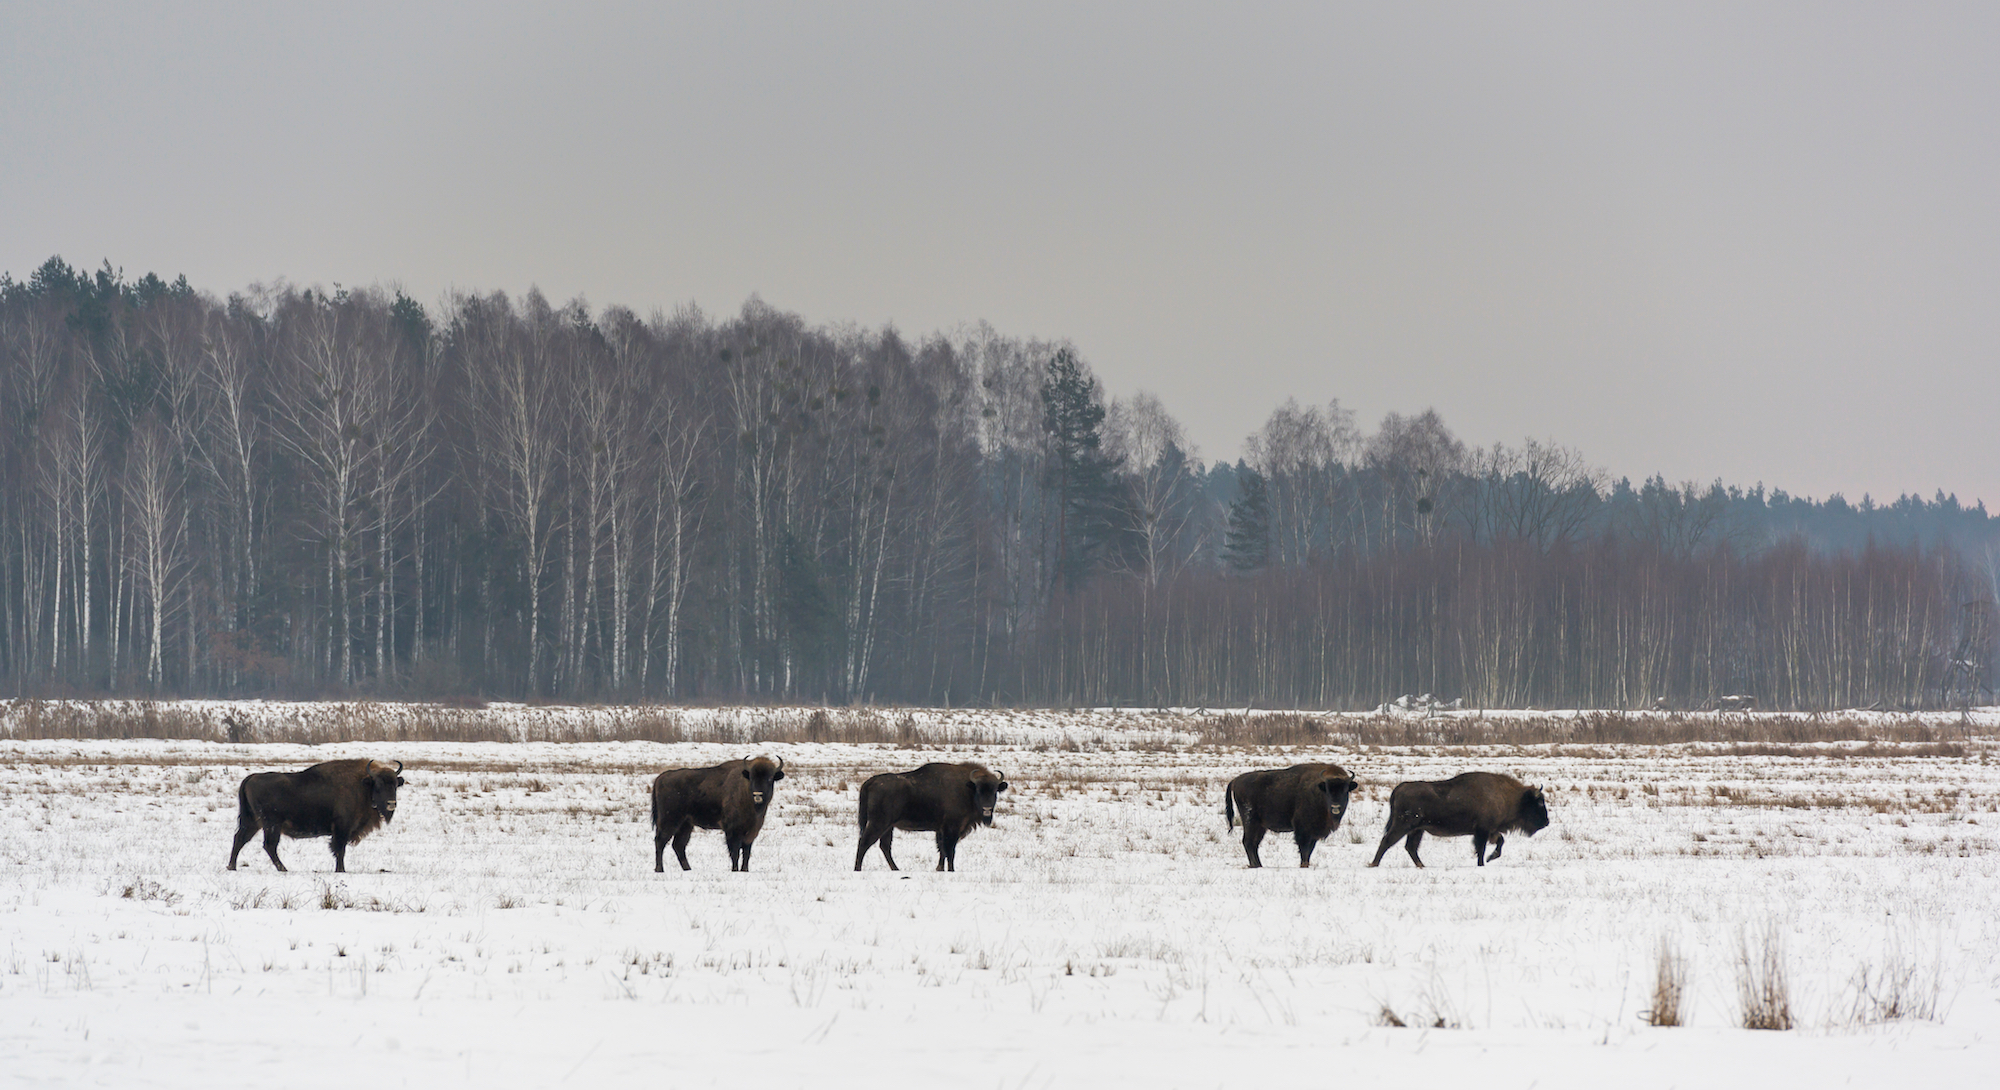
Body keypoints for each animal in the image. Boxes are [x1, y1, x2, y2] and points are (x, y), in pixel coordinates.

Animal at [227, 760, 406, 872]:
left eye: (395, 785)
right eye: (378, 785)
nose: (391, 803)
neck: (363, 785)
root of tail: (251, 778)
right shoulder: (342, 828)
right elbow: (340, 849)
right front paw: (341, 870)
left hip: (253, 822)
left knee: (240, 839)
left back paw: (232, 867)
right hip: (271, 824)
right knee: (269, 845)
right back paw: (283, 869)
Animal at [652, 752, 784, 872]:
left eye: (770, 778)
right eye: (751, 778)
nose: (758, 795)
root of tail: (661, 778)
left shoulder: (751, 831)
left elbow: (746, 853)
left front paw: (745, 870)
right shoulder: (733, 830)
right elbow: (735, 852)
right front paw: (735, 870)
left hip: (686, 824)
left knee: (678, 845)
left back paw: (688, 869)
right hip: (669, 821)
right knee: (660, 841)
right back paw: (660, 869)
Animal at [852, 760, 1008, 872]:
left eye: (995, 791)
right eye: (979, 790)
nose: (987, 808)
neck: (967, 788)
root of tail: (871, 781)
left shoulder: (941, 830)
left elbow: (942, 850)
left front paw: (939, 869)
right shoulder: (952, 829)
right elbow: (950, 850)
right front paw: (951, 870)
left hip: (888, 826)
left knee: (884, 846)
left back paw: (896, 869)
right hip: (878, 823)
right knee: (864, 843)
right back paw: (858, 869)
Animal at [1216, 760, 1360, 864]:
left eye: (1345, 790)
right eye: (1328, 790)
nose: (1336, 806)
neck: (1319, 789)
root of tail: (1235, 780)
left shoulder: (1313, 833)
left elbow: (1309, 850)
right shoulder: (1303, 830)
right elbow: (1304, 851)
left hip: (1260, 826)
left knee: (1253, 844)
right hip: (1250, 821)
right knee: (1248, 842)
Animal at [1368, 772, 1552, 868]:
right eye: (1538, 803)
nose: (1546, 822)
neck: (1509, 796)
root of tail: (1400, 788)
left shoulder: (1491, 831)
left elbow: (1499, 843)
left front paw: (1490, 858)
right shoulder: (1483, 831)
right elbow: (1481, 849)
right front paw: (1482, 863)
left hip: (1417, 830)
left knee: (1410, 847)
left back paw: (1422, 866)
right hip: (1403, 826)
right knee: (1387, 841)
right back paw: (1374, 864)